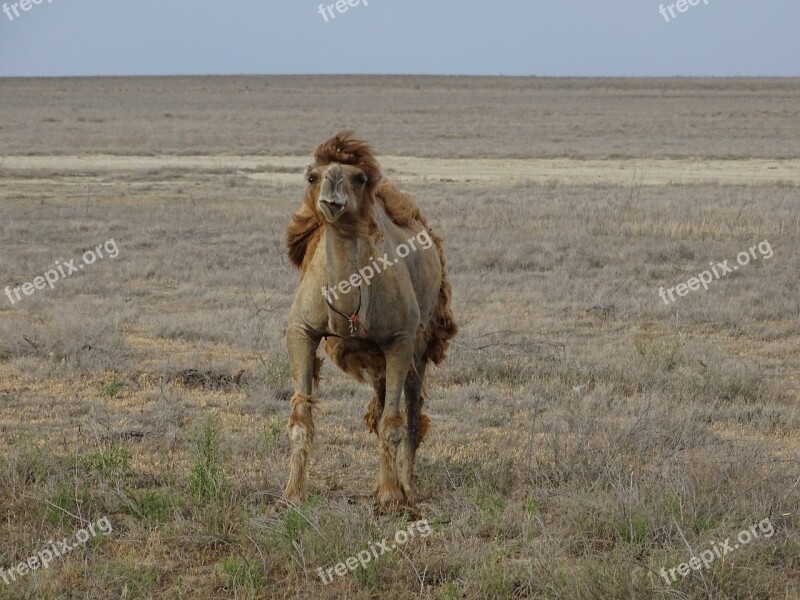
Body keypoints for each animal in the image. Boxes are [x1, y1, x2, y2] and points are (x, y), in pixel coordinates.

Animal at [282, 132, 456, 510]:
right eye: (312, 177)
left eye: (359, 178)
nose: (332, 194)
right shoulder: (301, 331)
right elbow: (301, 416)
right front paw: (292, 494)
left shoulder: (400, 340)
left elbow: (393, 422)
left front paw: (391, 497)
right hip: (375, 356)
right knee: (380, 406)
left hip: (421, 343)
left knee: (411, 412)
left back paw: (406, 486)